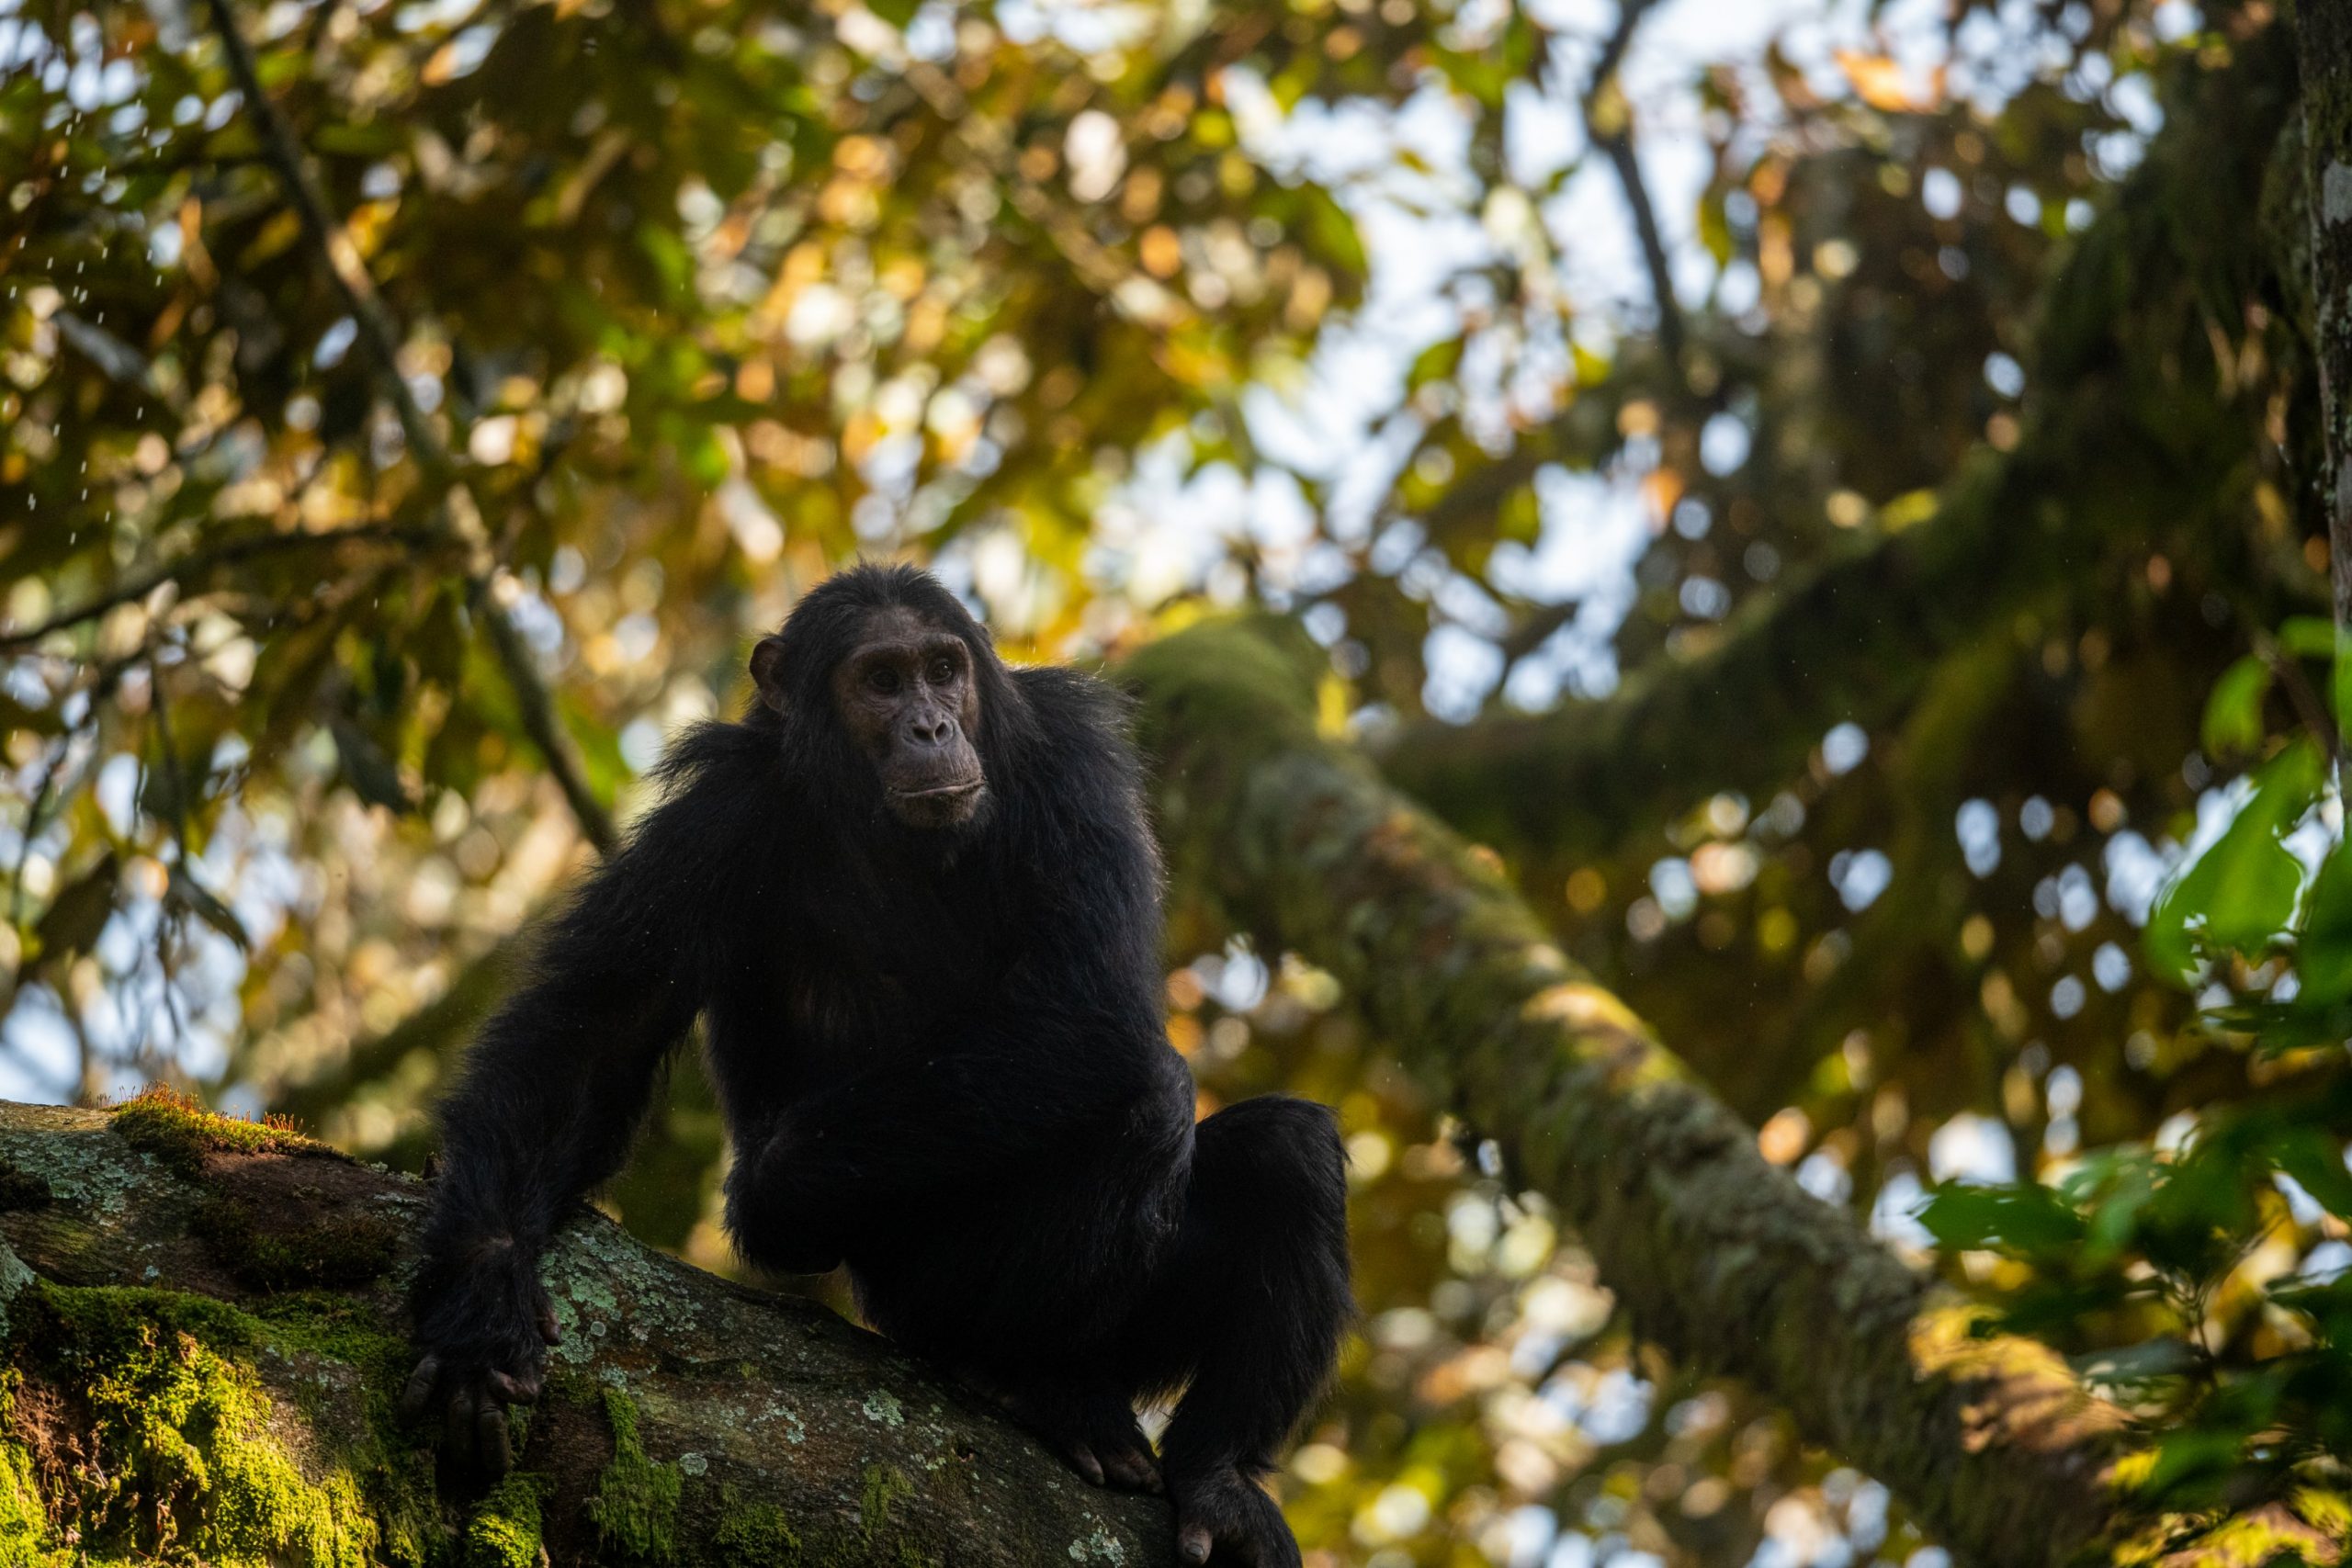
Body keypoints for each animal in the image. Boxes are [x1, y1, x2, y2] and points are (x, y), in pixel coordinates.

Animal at [409, 561, 1363, 1561]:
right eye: (880, 680)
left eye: (943, 669)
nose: (931, 726)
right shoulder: (719, 811)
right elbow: (600, 1024)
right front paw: (483, 1301)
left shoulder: (1075, 764)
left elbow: (1091, 1001)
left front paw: (766, 1192)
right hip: (932, 1301)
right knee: (1148, 1100)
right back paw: (1040, 1386)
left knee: (1281, 1150)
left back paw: (1213, 1475)